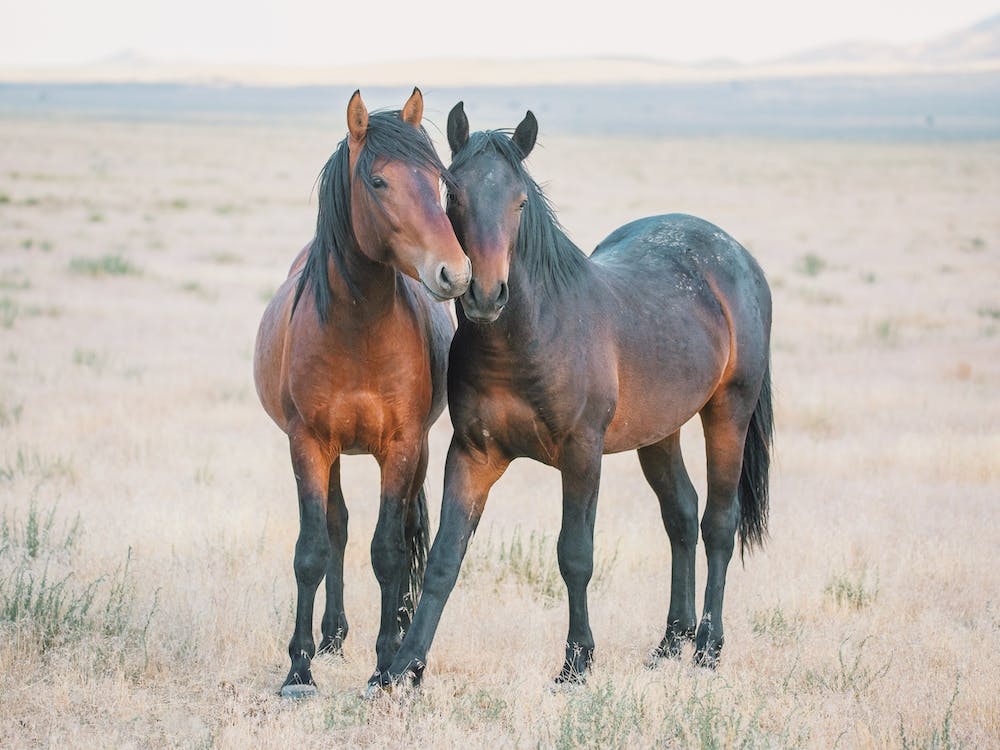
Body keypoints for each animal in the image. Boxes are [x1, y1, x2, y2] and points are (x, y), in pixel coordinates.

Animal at [253, 88, 471, 697]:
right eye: (378, 181)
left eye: (438, 179)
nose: (455, 272)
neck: (357, 328)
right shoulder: (307, 443)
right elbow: (313, 548)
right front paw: (299, 669)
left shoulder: (400, 446)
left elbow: (390, 551)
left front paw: (385, 664)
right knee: (337, 526)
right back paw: (331, 635)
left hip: (416, 452)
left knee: (404, 530)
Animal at [374, 102, 773, 689]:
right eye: (454, 196)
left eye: (519, 202)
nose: (485, 294)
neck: (529, 337)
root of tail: (737, 256)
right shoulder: (473, 454)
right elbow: (446, 557)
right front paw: (402, 669)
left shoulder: (582, 454)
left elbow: (575, 555)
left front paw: (577, 662)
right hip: (660, 432)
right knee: (680, 514)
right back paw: (669, 644)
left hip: (728, 413)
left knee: (718, 524)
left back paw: (707, 647)